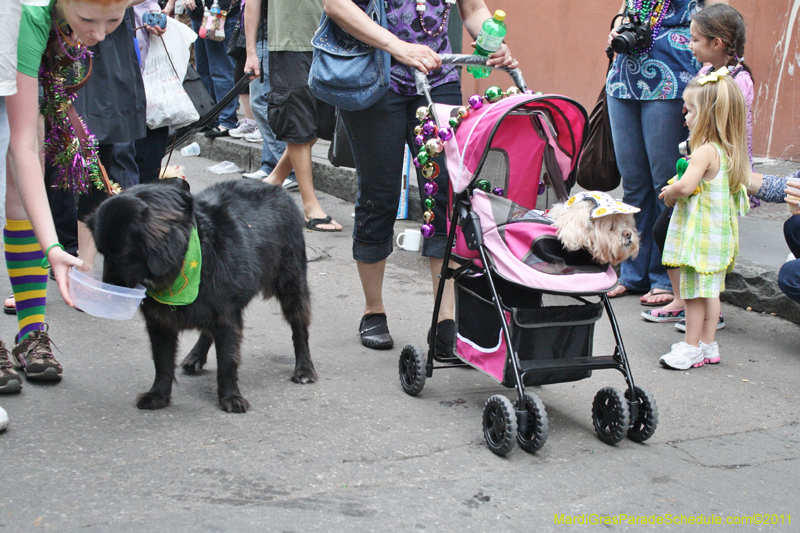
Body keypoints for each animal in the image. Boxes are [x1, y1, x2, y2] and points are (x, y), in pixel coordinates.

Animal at [86, 179, 314, 412]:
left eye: (122, 253)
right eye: (101, 252)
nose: (108, 295)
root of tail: (275, 188)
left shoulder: (227, 317)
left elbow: (227, 362)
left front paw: (230, 396)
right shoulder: (159, 322)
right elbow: (162, 363)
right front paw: (158, 394)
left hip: (291, 284)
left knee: (299, 328)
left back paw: (304, 368)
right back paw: (195, 356)